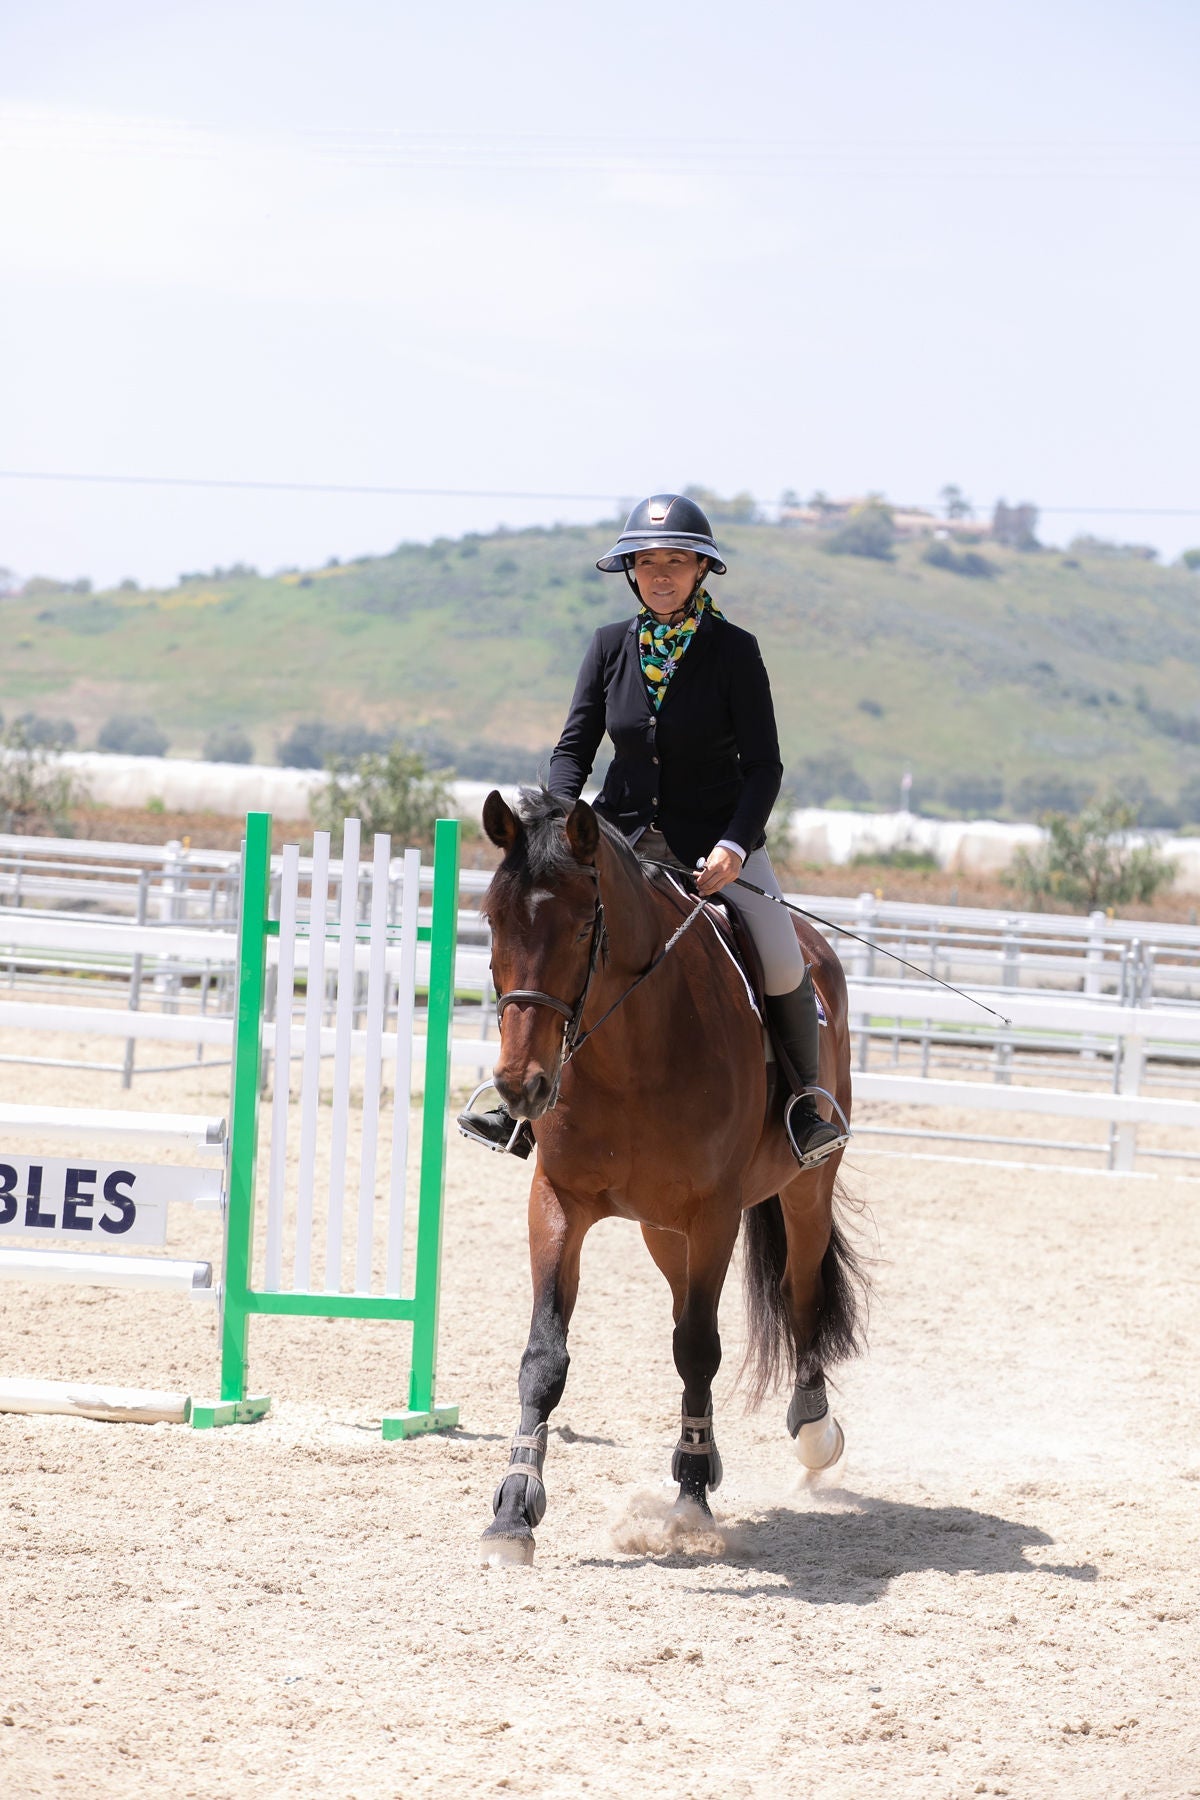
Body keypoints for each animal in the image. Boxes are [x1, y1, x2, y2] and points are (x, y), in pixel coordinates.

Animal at [474, 788, 863, 1562]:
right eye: (494, 921)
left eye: (584, 926)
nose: (521, 1088)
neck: (629, 1052)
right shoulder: (557, 1201)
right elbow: (545, 1355)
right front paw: (513, 1510)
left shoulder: (714, 1212)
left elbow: (697, 1349)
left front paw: (690, 1501)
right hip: (662, 1229)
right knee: (691, 1301)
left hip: (804, 1189)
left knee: (800, 1294)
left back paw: (811, 1432)